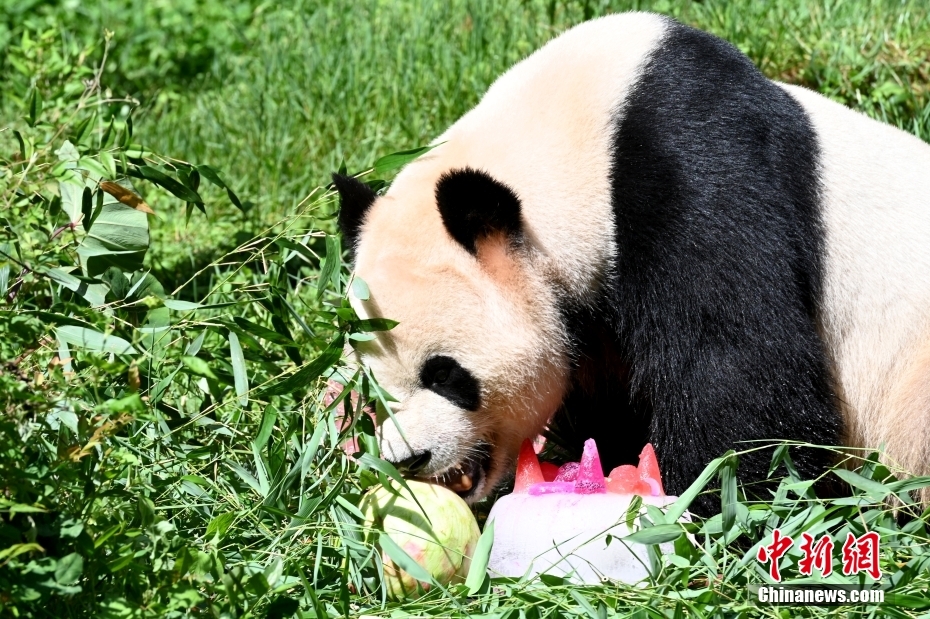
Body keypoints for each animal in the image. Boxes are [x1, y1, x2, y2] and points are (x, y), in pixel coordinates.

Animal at [330, 13, 928, 512]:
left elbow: (735, 361)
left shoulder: (696, 169)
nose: (411, 458)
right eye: (375, 391)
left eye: (445, 374)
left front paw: (716, 502)